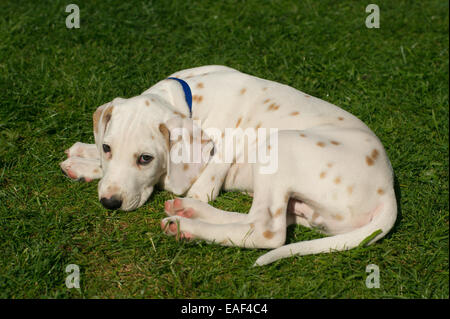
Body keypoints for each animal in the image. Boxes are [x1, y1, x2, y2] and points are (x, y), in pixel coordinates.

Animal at [60, 64, 398, 264]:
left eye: (146, 159)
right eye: (108, 148)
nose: (110, 203)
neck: (189, 99)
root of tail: (388, 192)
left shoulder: (198, 179)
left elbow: (170, 180)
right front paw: (83, 158)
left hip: (279, 145)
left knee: (267, 232)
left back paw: (187, 225)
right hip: (300, 206)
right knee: (255, 219)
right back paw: (188, 212)